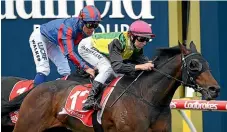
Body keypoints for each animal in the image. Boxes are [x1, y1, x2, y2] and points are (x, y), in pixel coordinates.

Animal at [12, 42, 220, 132]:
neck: (148, 98)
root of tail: (36, 88)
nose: (214, 89)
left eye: (207, 63)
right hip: (27, 126)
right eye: (193, 65)